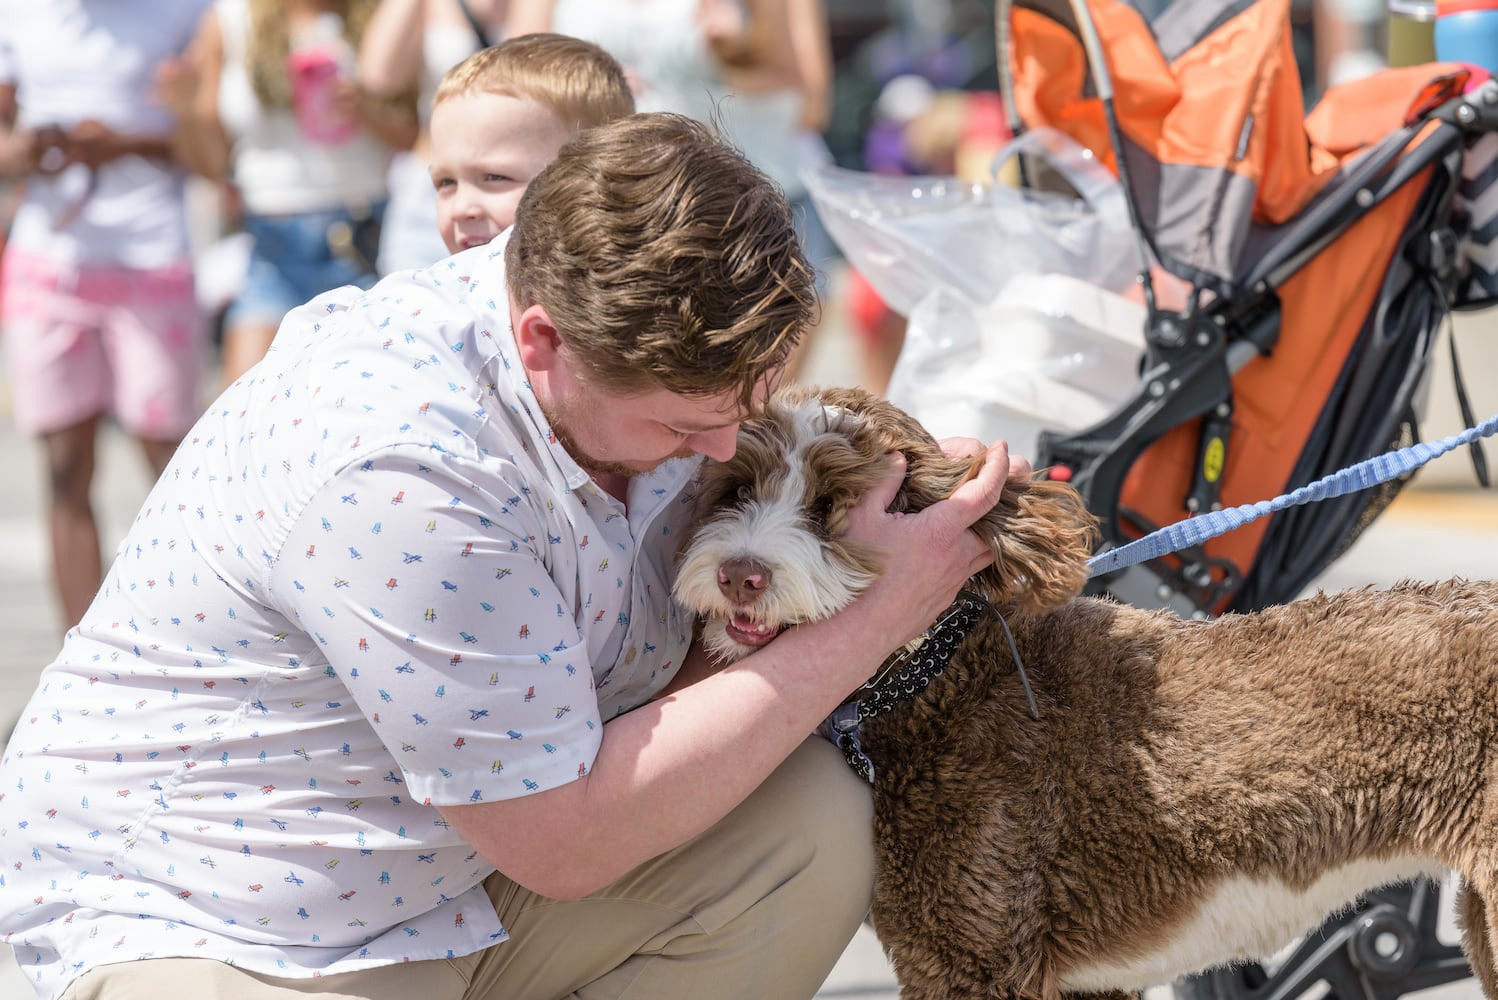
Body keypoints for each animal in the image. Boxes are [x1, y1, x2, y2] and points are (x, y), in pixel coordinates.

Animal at [677, 386, 1498, 999]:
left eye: (831, 505)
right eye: (736, 489)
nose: (740, 573)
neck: (938, 671)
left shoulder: (974, 962)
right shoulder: (1084, 982)